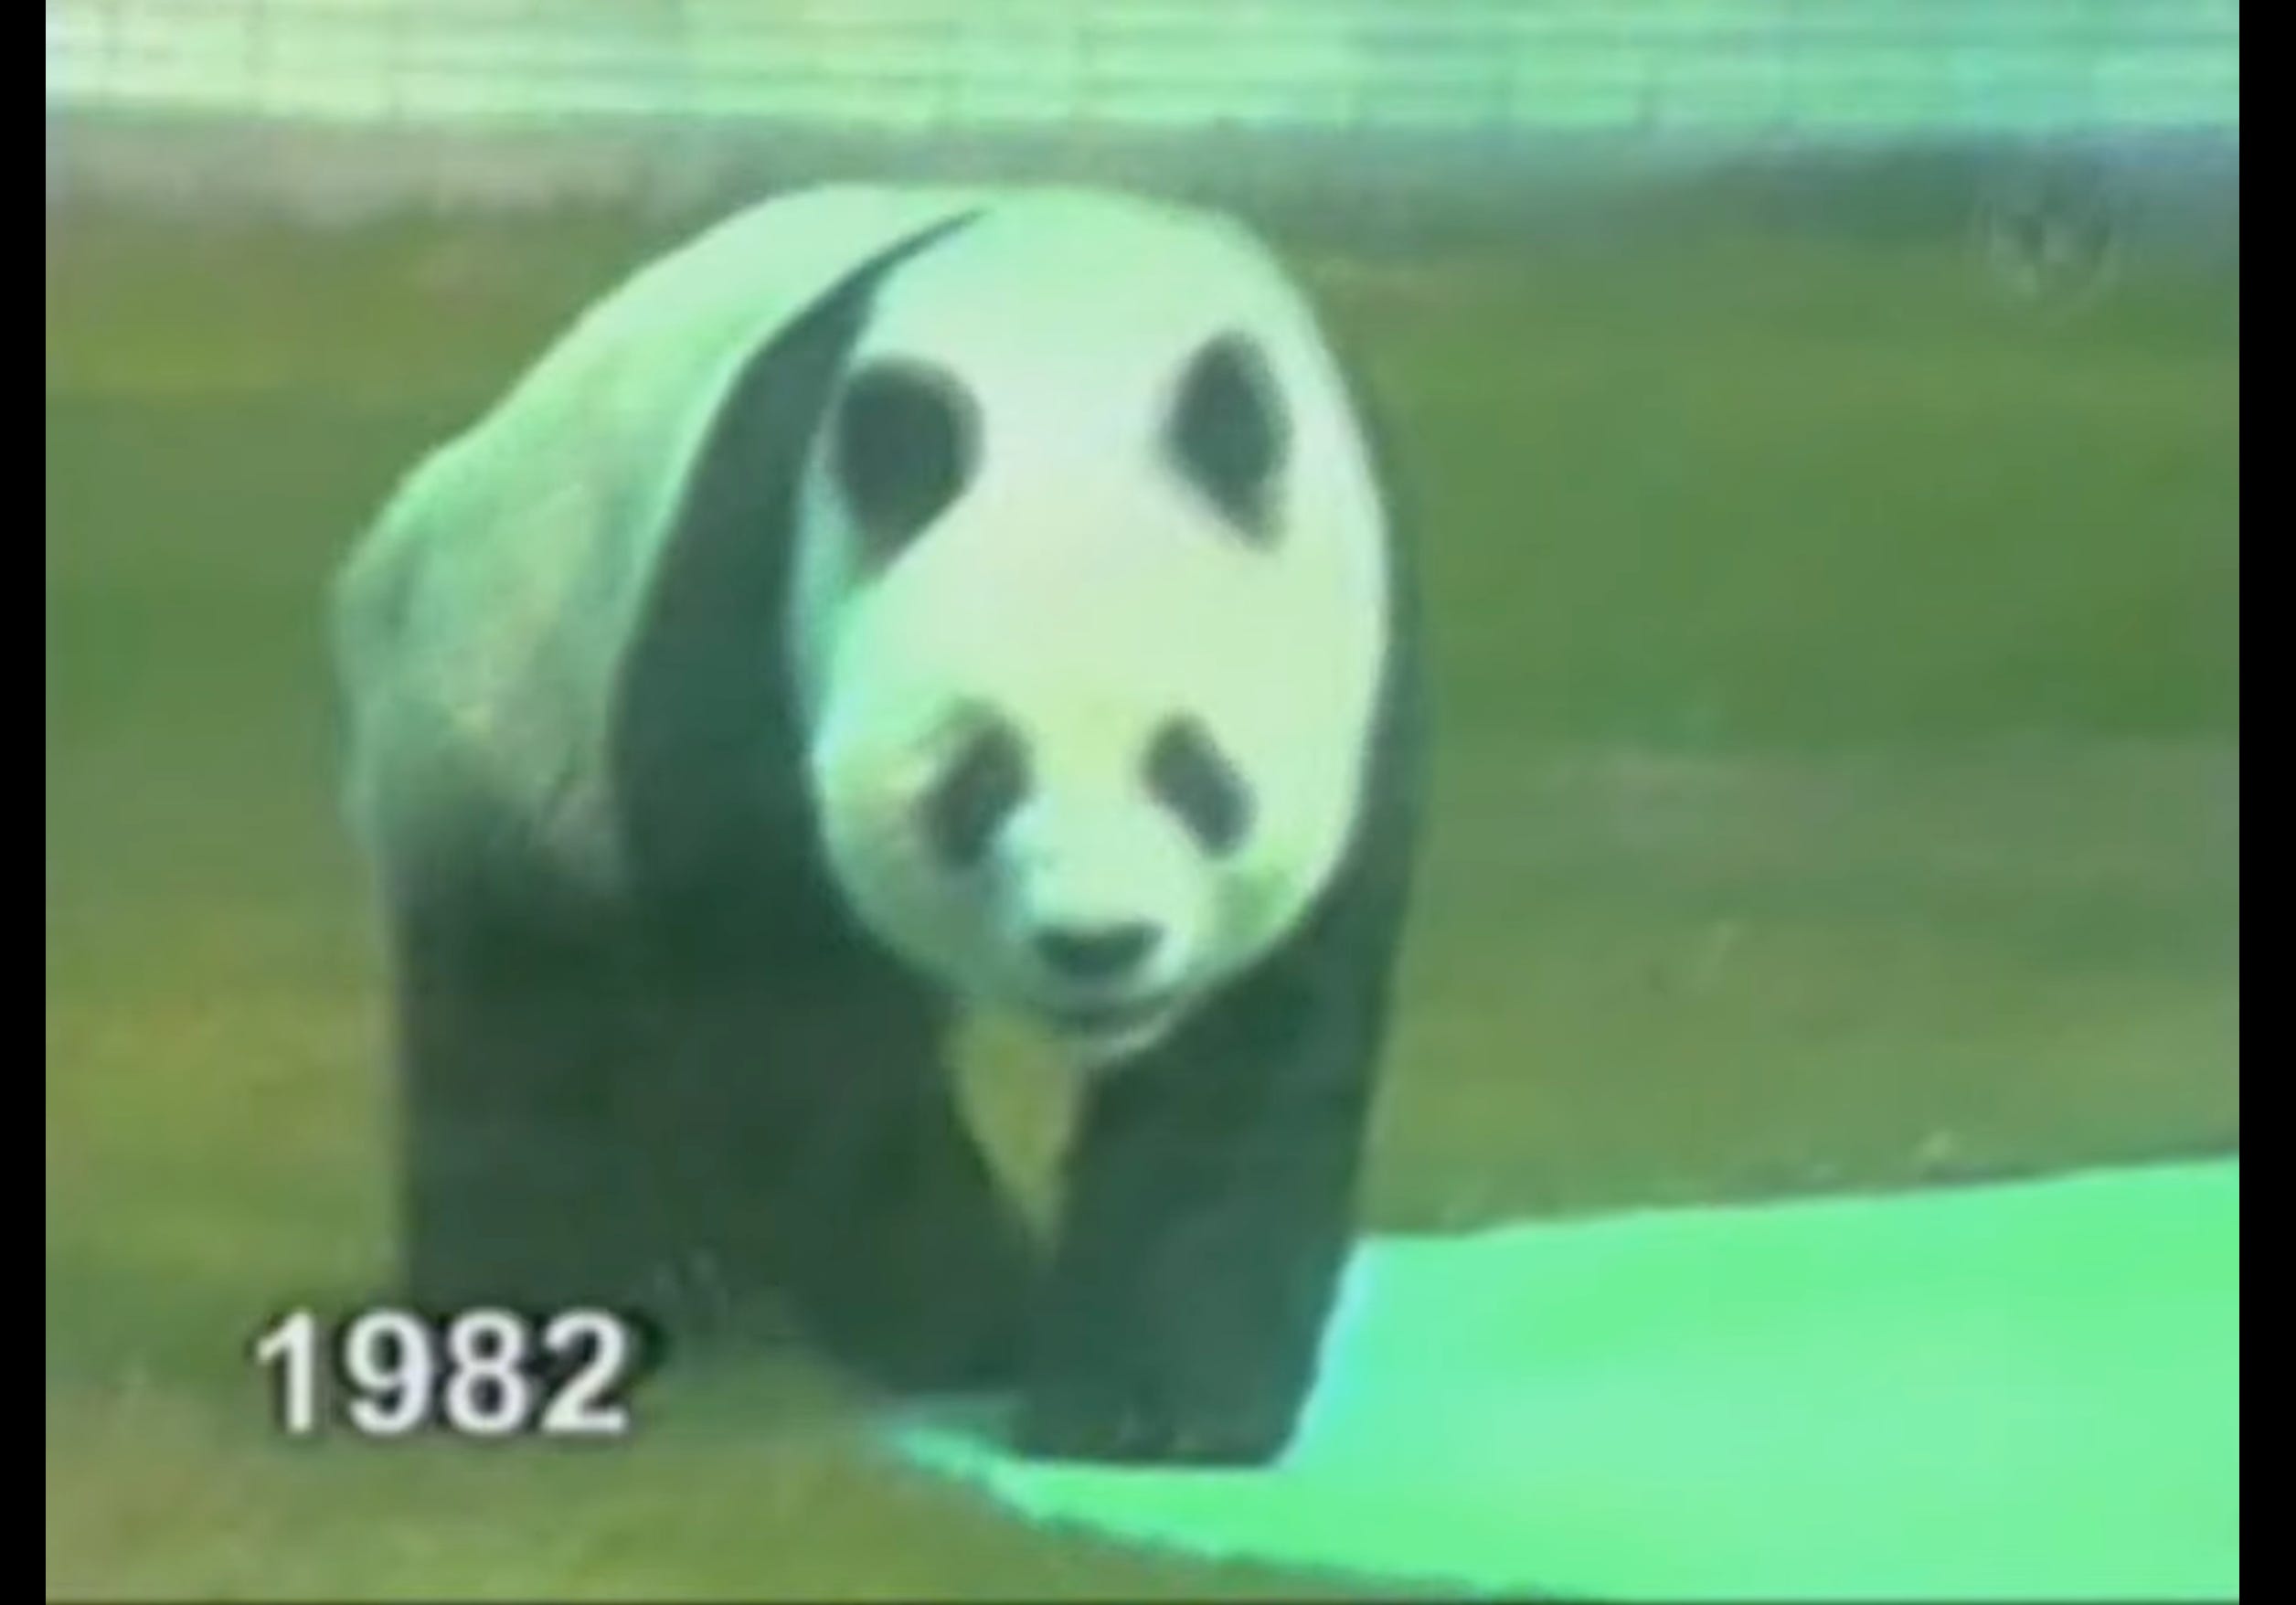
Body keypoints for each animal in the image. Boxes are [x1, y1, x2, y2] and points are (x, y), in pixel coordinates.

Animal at [331, 184, 1425, 1466]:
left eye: (1194, 772)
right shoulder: (758, 595)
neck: (1068, 345)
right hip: (495, 724)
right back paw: (548, 1318)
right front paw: (990, 1315)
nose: (1097, 946)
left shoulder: (1366, 666)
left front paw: (1154, 1405)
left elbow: (1248, 1058)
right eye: (982, 779)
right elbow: (793, 1015)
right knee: (520, 1025)